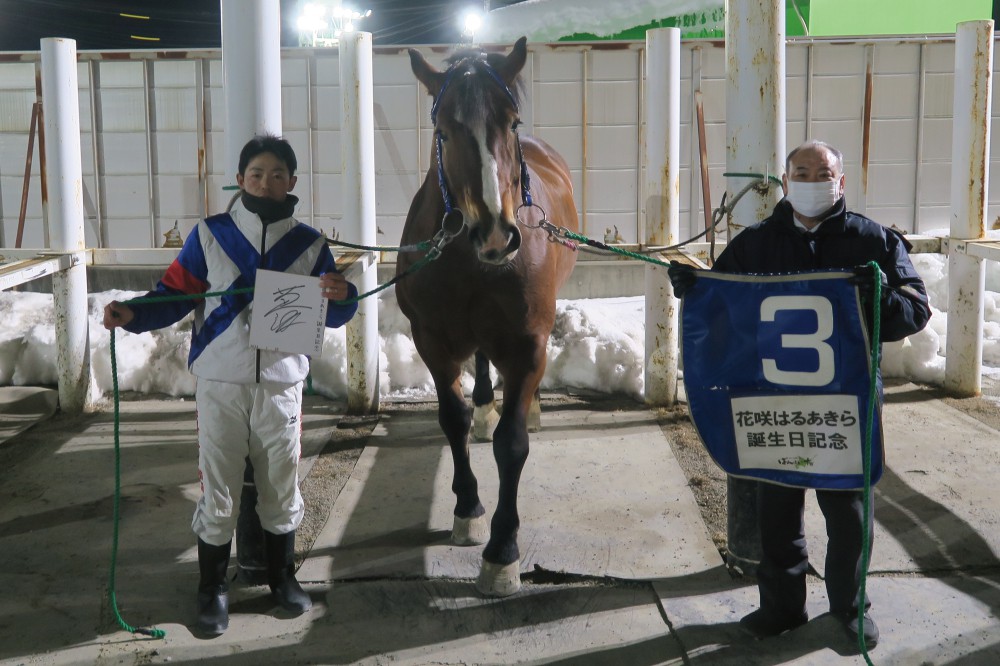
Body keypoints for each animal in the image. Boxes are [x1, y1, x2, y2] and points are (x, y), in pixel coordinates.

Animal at [396, 37, 584, 596]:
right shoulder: (430, 340)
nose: (496, 234)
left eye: (512, 121)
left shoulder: (525, 344)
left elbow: (512, 445)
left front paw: (503, 551)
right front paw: (467, 508)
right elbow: (451, 419)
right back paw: (484, 409)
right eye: (443, 130)